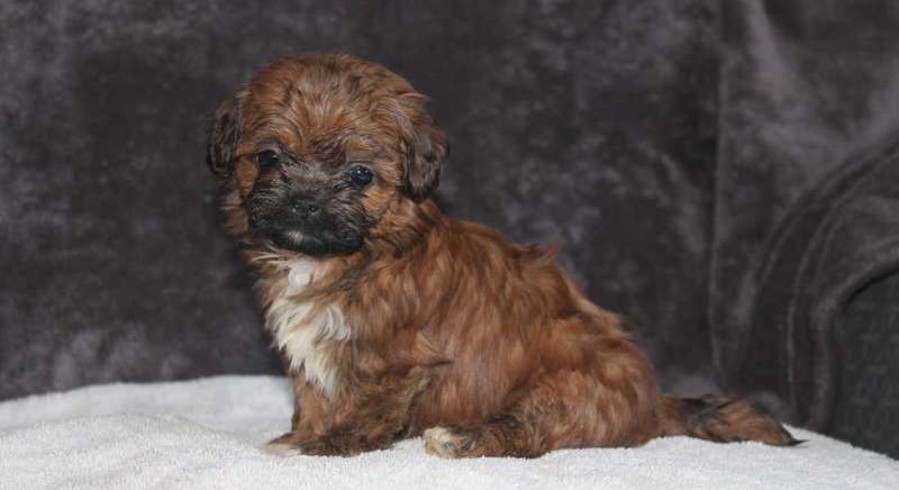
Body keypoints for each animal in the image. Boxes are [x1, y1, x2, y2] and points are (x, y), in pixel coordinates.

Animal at [207, 53, 800, 460]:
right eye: (268, 158)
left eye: (359, 175)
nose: (306, 201)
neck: (348, 257)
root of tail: (654, 401)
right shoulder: (313, 352)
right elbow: (313, 394)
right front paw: (301, 433)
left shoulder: (396, 359)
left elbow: (366, 407)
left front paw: (328, 445)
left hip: (564, 385)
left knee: (533, 433)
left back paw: (461, 439)